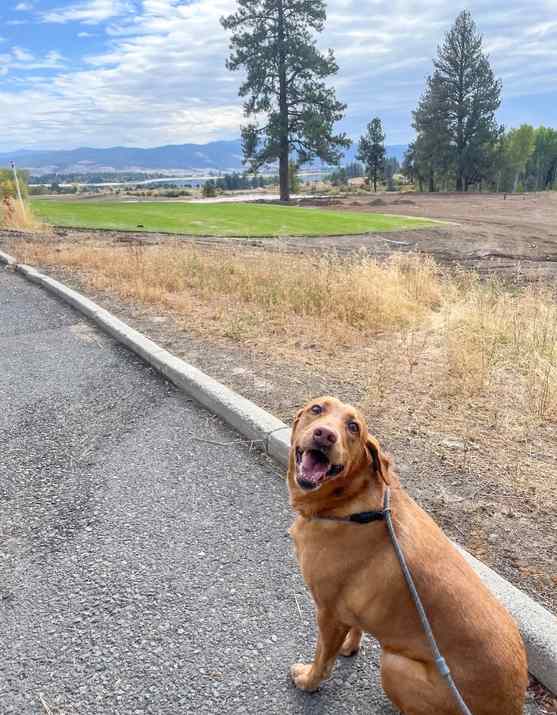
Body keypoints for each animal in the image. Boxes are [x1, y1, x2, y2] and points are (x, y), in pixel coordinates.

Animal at [286, 398, 524, 715]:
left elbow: (323, 658)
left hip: (394, 665)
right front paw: (350, 647)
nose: (325, 435)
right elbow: (354, 631)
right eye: (316, 409)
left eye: (353, 427)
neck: (349, 503)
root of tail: (513, 705)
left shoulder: (328, 613)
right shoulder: (349, 612)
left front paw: (308, 681)